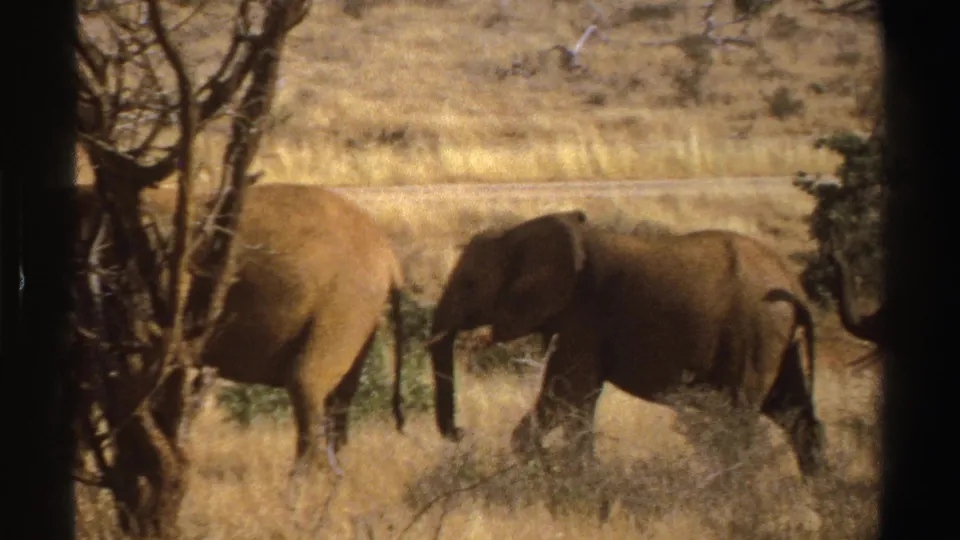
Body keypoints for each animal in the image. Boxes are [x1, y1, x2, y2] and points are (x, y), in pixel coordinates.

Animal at [74, 182, 408, 477]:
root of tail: (390, 256)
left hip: (344, 304)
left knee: (306, 383)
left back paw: (302, 494)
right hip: (357, 312)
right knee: (338, 398)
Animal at [426, 210, 826, 478]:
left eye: (470, 284)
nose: (461, 433)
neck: (520, 231)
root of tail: (791, 282)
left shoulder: (584, 313)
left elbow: (568, 394)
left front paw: (577, 480)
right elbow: (569, 398)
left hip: (756, 331)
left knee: (739, 419)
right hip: (778, 336)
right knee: (794, 414)